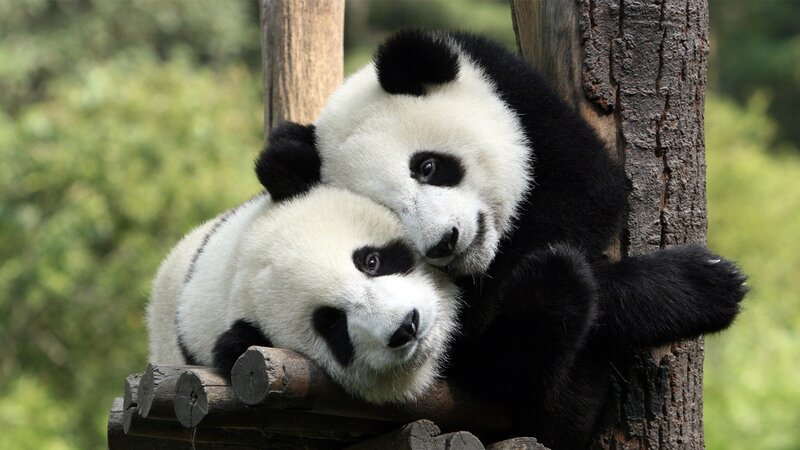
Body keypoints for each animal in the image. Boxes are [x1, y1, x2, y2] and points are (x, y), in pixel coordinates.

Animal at [254, 30, 748, 448]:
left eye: (427, 166)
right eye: (390, 213)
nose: (445, 242)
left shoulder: (522, 101)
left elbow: (588, 192)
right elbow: (484, 339)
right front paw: (700, 285)